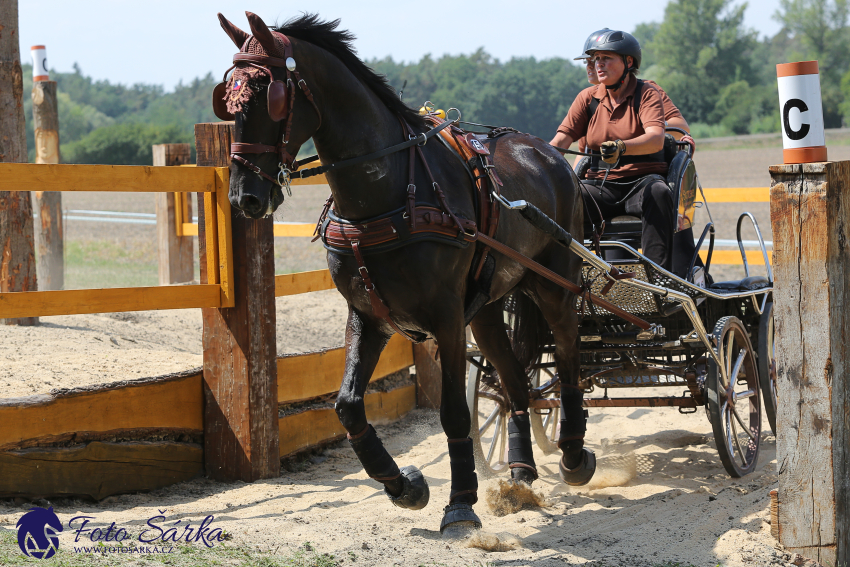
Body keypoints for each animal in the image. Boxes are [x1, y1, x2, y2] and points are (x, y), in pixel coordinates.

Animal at [215, 11, 592, 536]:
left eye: (269, 97)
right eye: (228, 100)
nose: (244, 197)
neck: (389, 190)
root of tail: (550, 155)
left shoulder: (446, 319)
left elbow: (453, 413)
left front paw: (461, 504)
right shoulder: (368, 315)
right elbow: (348, 405)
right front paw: (404, 486)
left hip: (554, 286)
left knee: (570, 356)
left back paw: (574, 454)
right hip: (489, 310)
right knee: (514, 384)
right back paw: (520, 473)